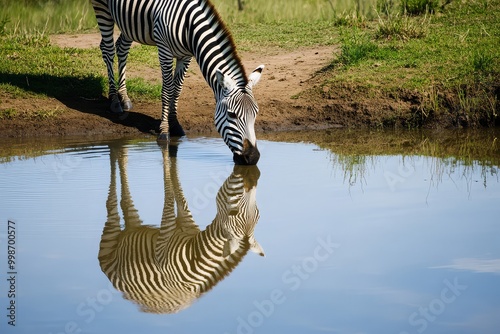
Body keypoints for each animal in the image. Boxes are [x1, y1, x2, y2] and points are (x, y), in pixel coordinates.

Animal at [90, 0, 264, 164]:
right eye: (231, 115)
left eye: (255, 113)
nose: (253, 157)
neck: (189, 26)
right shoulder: (164, 51)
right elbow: (167, 90)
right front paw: (164, 131)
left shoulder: (186, 56)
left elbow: (177, 89)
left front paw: (174, 124)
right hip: (102, 8)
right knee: (108, 49)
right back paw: (114, 99)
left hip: (128, 22)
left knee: (122, 48)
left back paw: (124, 97)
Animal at [96, 142, 262, 314]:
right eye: (233, 211)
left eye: (258, 215)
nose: (250, 160)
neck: (196, 255)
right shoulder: (164, 241)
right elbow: (169, 192)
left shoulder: (186, 223)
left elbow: (180, 196)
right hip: (110, 238)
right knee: (112, 201)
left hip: (132, 228)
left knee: (125, 195)